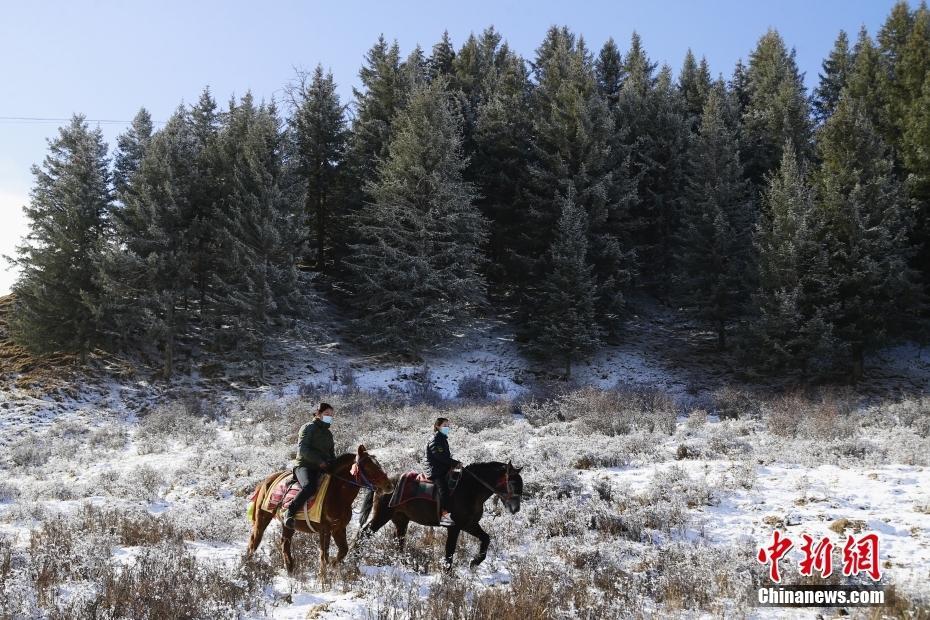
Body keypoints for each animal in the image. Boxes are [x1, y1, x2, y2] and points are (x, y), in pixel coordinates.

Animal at [245, 444, 390, 572]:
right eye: (369, 467)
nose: (389, 485)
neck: (337, 494)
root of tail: (266, 480)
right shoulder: (325, 530)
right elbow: (323, 557)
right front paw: (324, 580)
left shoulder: (338, 528)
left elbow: (343, 551)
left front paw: (333, 567)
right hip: (262, 518)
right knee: (253, 543)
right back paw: (247, 568)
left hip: (288, 526)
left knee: (284, 545)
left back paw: (290, 571)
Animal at [358, 460, 520, 568]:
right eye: (512, 483)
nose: (516, 509)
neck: (469, 489)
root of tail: (382, 485)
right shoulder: (454, 528)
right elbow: (450, 551)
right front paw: (448, 575)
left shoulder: (469, 525)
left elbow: (486, 538)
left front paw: (475, 562)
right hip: (382, 516)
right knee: (363, 534)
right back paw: (354, 558)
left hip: (401, 520)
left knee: (399, 542)